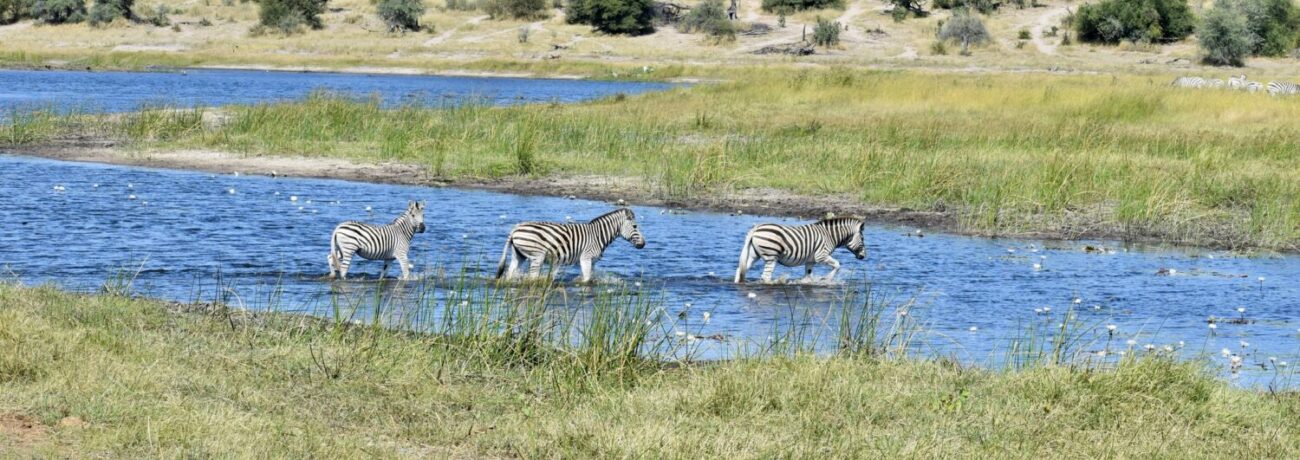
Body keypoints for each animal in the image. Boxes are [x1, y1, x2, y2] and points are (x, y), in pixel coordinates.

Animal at [491, 207, 644, 280]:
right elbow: (587, 279)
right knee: (532, 277)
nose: (643, 244)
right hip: (537, 256)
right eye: (635, 226)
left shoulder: (593, 261)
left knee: (510, 273)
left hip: (519, 255)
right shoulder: (585, 257)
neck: (598, 235)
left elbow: (590, 276)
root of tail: (516, 228)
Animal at [738, 217, 868, 283]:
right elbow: (837, 264)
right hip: (771, 256)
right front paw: (826, 279)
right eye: (862, 238)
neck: (829, 236)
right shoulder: (821, 255)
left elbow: (808, 276)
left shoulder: (810, 261)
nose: (863, 256)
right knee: (765, 276)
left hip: (753, 255)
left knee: (740, 270)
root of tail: (756, 229)